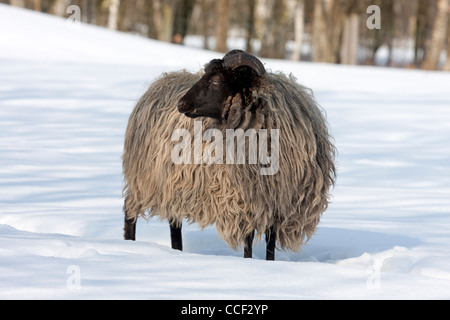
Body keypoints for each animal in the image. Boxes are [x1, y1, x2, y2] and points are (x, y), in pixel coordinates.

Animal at [121, 49, 336, 260]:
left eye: (216, 81)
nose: (180, 104)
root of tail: (161, 81)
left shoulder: (278, 203)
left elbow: (270, 242)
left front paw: (270, 264)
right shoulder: (246, 201)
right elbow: (248, 241)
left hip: (173, 186)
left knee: (174, 222)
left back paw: (176, 251)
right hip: (144, 181)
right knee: (130, 212)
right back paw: (130, 246)